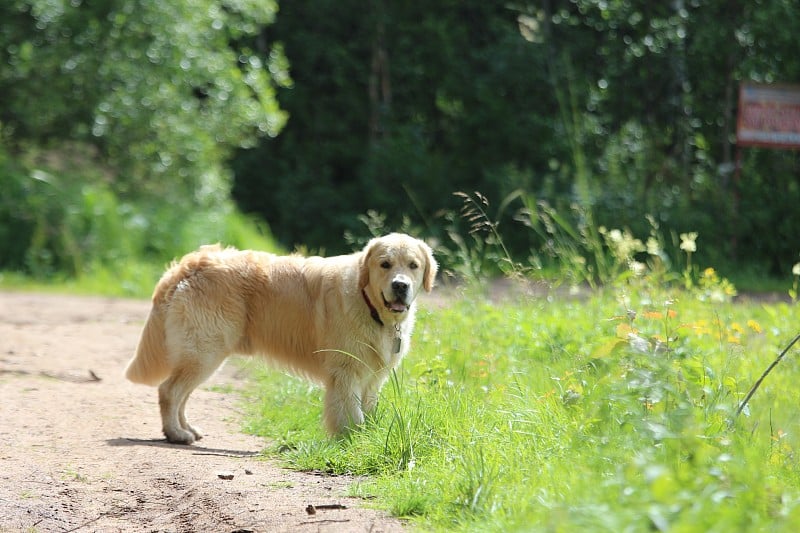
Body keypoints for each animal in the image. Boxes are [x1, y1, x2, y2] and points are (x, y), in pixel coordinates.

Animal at [125, 231, 438, 442]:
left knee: (181, 393)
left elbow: (368, 410)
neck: (369, 304)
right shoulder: (346, 372)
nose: (400, 286)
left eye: (413, 265)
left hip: (204, 355)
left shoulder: (373, 377)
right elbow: (352, 413)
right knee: (169, 390)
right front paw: (351, 439)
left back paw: (186, 429)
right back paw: (176, 433)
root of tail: (191, 262)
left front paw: (365, 437)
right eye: (385, 264)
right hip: (205, 351)